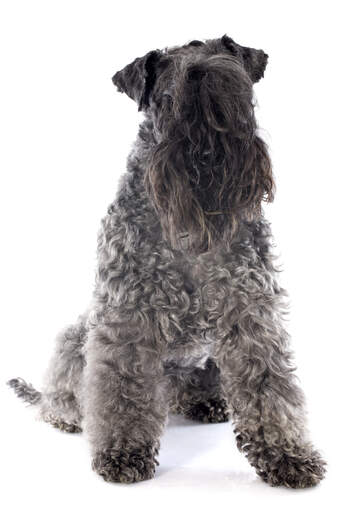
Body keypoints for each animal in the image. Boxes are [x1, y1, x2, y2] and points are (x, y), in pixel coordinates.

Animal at [6, 34, 326, 486]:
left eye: (234, 89)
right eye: (166, 98)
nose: (207, 151)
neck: (191, 233)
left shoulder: (250, 314)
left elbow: (268, 386)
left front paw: (288, 456)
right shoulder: (126, 319)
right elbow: (121, 390)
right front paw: (123, 453)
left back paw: (207, 402)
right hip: (76, 335)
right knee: (68, 387)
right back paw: (65, 413)